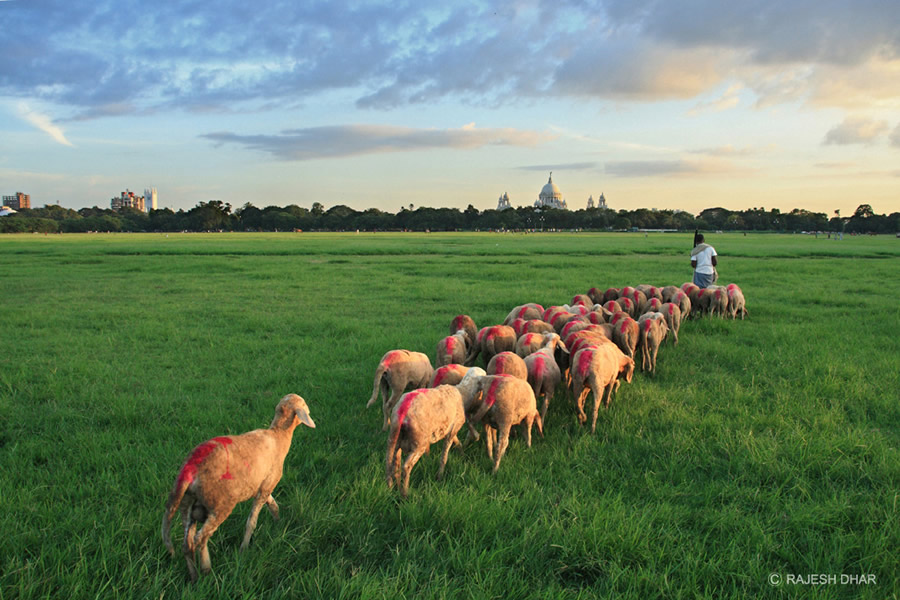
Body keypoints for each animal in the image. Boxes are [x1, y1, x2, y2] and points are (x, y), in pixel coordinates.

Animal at [162, 394, 316, 580]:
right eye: (304, 405)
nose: (310, 411)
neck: (279, 435)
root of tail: (189, 468)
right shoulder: (266, 485)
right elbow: (251, 521)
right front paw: (244, 549)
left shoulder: (260, 486)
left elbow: (273, 505)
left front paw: (279, 523)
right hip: (220, 505)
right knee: (200, 538)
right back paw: (206, 569)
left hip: (187, 505)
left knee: (187, 543)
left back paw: (194, 577)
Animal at [384, 368, 486, 500]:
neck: (463, 392)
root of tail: (402, 411)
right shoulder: (454, 428)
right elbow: (444, 456)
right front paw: (439, 476)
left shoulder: (450, 428)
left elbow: (457, 442)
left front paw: (462, 454)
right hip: (419, 442)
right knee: (406, 467)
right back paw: (405, 494)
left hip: (395, 439)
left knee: (392, 464)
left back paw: (393, 487)